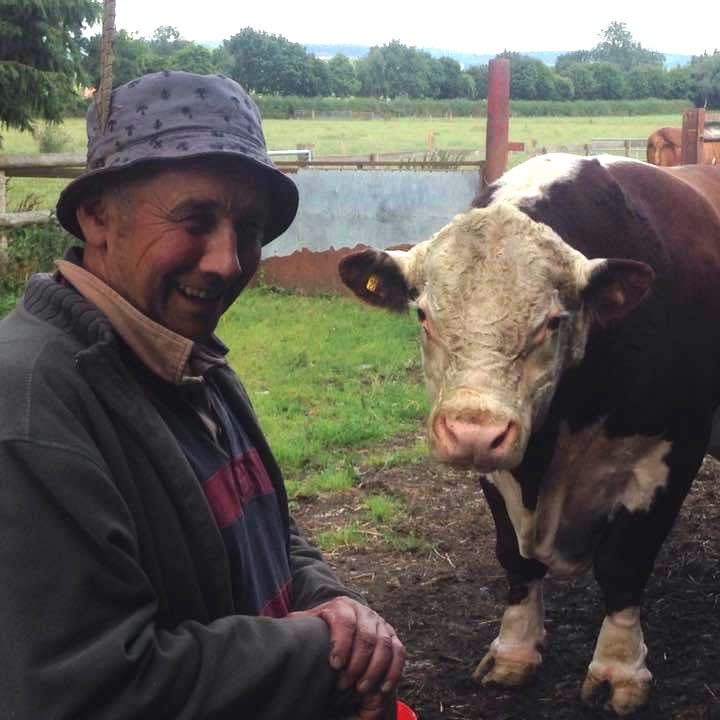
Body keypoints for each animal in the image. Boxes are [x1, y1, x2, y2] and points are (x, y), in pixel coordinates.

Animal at [340, 153, 720, 716]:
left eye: (552, 322)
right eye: (423, 315)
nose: (473, 431)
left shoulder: (671, 449)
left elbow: (624, 562)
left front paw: (618, 668)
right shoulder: (499, 467)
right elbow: (514, 557)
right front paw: (515, 650)